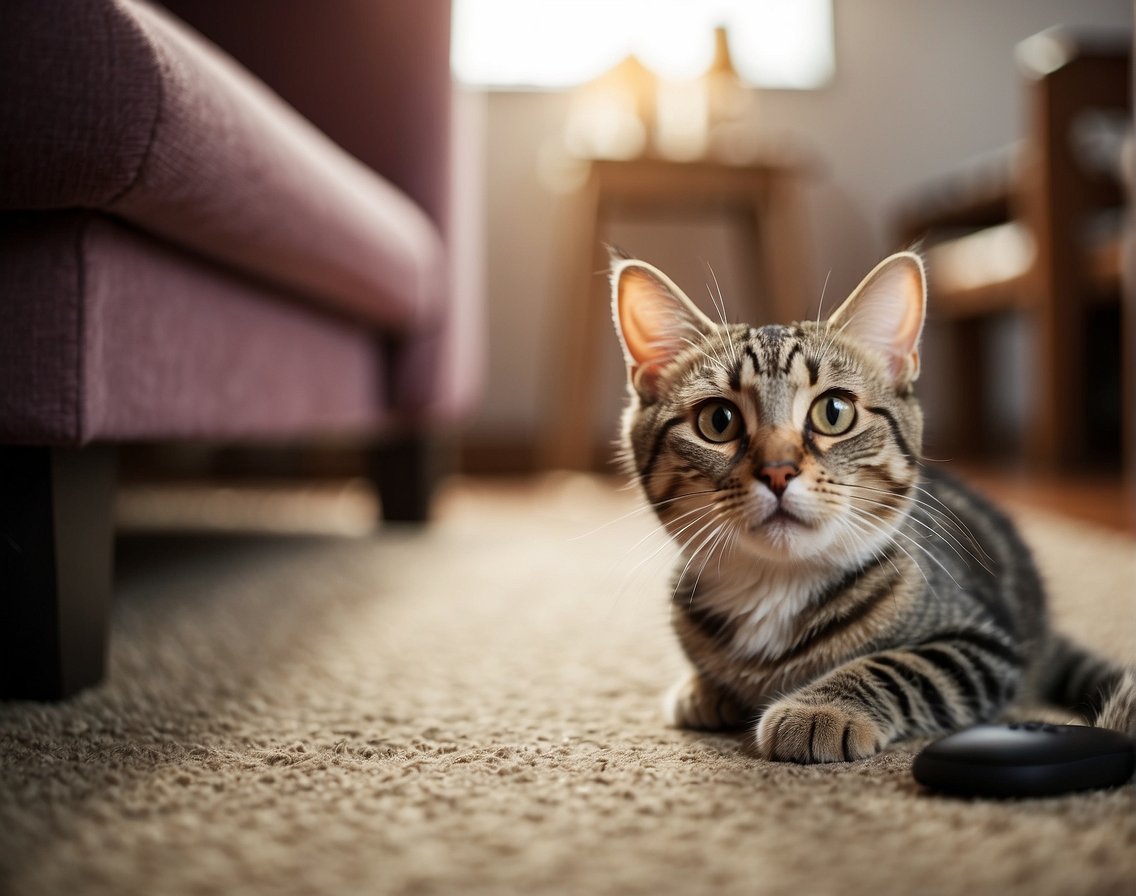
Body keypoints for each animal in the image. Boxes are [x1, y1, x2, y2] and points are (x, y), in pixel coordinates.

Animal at [613, 252, 1136, 763]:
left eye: (834, 412)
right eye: (718, 421)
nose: (778, 471)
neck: (776, 587)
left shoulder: (985, 647)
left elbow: (901, 665)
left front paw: (821, 708)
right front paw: (704, 687)